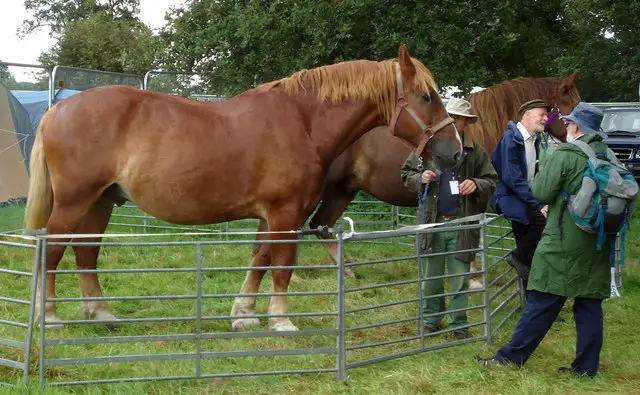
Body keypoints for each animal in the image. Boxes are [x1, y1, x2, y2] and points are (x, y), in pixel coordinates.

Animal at [26, 44, 464, 332]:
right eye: (427, 96)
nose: (456, 152)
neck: (302, 122)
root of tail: (60, 107)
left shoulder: (271, 214)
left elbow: (260, 258)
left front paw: (244, 314)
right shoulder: (286, 213)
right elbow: (282, 262)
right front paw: (281, 320)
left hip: (101, 201)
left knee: (86, 252)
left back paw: (99, 313)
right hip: (74, 201)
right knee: (53, 250)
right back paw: (50, 317)